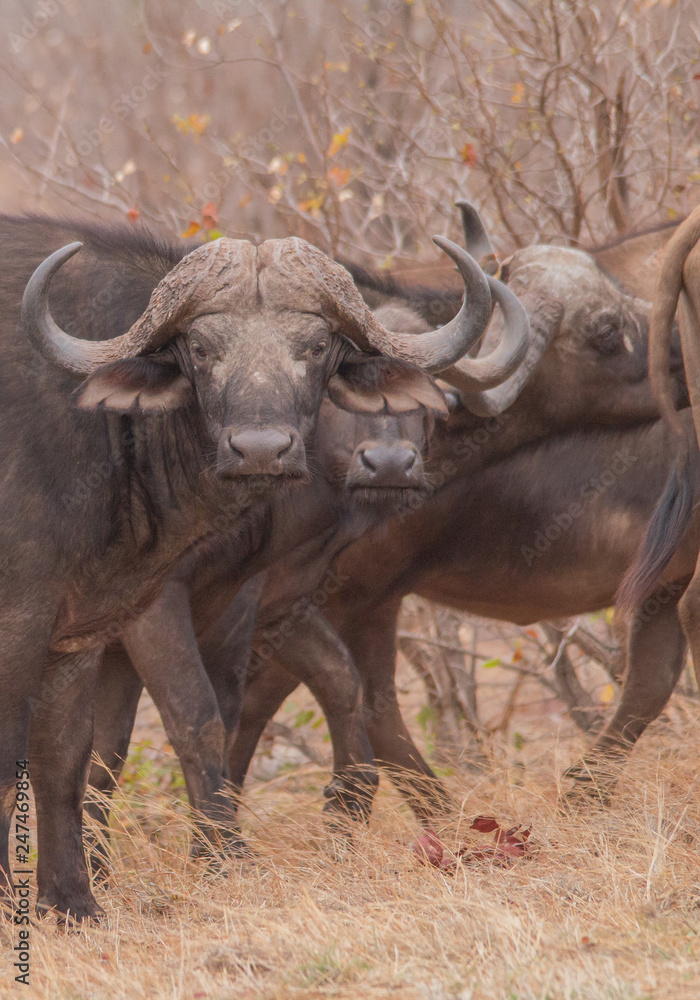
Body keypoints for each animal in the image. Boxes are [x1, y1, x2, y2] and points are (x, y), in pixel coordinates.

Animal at [2, 215, 500, 916]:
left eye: (317, 346)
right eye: (201, 348)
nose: (261, 449)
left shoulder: (87, 628)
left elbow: (71, 756)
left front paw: (75, 903)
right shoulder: (58, 616)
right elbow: (185, 716)